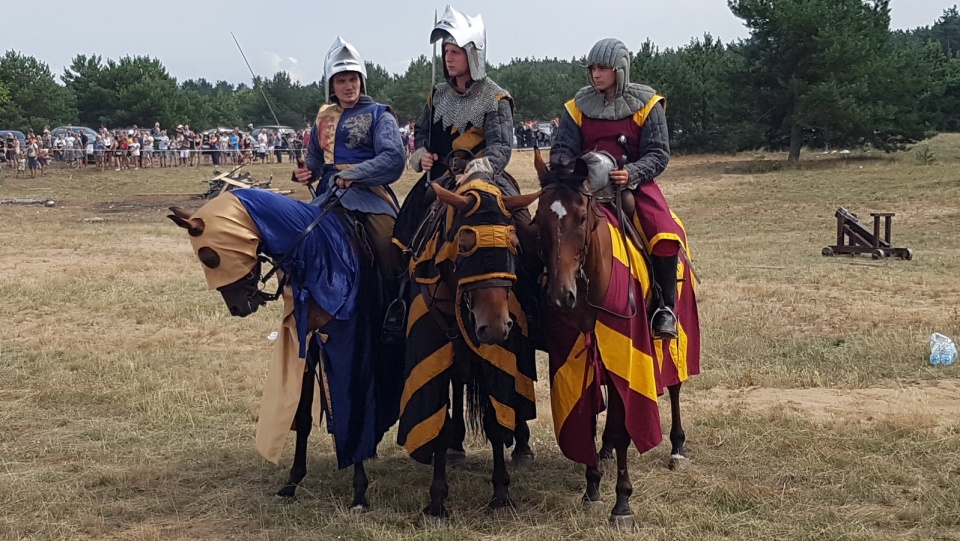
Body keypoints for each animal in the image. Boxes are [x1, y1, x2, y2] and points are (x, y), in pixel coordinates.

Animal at [394, 170, 540, 520]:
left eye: (513, 242)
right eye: (463, 244)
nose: (494, 327)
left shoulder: (494, 360)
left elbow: (495, 422)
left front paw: (501, 493)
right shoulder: (436, 353)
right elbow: (440, 424)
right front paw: (436, 500)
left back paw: (522, 446)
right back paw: (456, 447)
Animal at [528, 148, 700, 528]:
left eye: (581, 217)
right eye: (538, 221)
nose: (561, 296)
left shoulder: (627, 350)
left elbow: (623, 428)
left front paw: (622, 503)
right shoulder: (582, 351)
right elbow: (587, 419)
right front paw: (592, 486)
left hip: (672, 335)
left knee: (675, 385)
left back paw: (677, 447)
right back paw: (605, 452)